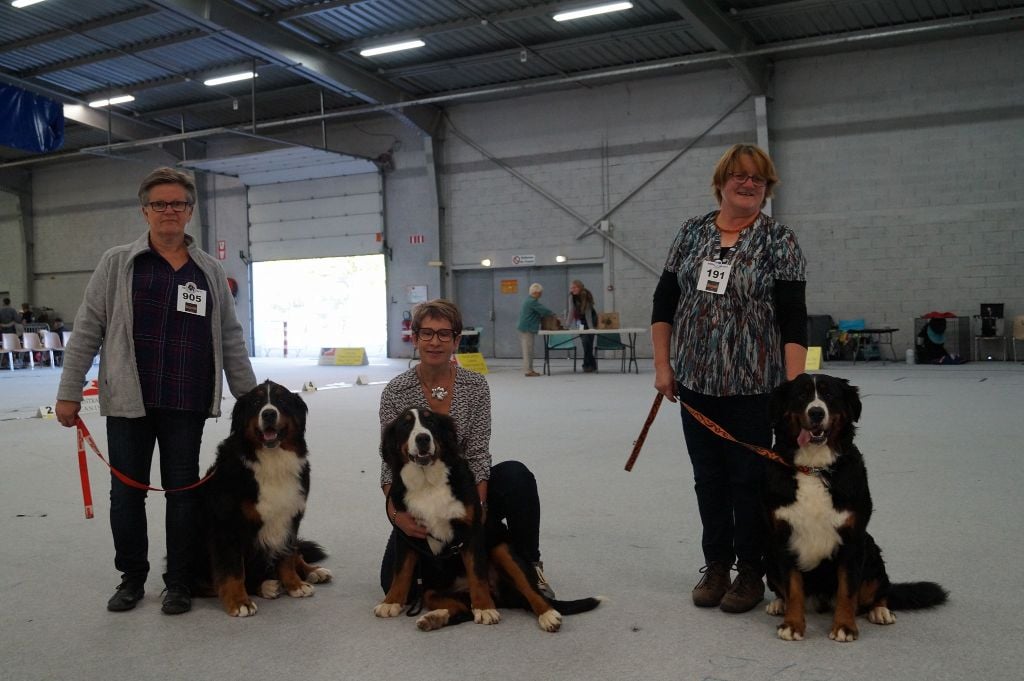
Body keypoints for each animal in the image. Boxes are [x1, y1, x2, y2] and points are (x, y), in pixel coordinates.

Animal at [192, 378, 331, 614]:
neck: (272, 460)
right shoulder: (227, 525)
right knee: (204, 583)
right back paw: (266, 586)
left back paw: (313, 572)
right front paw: (239, 601)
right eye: (256, 402)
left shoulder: (290, 517)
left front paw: (295, 585)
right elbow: (233, 570)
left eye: (282, 401)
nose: (269, 414)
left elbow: (287, 556)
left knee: (297, 553)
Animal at [374, 403, 598, 630]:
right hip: (432, 589)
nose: (422, 438)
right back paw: (434, 618)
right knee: (461, 609)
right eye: (405, 425)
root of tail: (501, 595)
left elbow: (477, 572)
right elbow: (400, 572)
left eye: (431, 422)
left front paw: (484, 608)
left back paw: (547, 614)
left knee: (530, 590)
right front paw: (390, 602)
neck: (427, 482)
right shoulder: (406, 532)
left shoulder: (471, 531)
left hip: (502, 549)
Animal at [765, 374, 946, 639]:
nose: (816, 412)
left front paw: (844, 626)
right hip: (769, 557)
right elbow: (793, 588)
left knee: (879, 592)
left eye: (829, 395)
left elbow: (848, 590)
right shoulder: (783, 537)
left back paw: (880, 611)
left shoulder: (852, 539)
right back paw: (778, 605)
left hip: (870, 550)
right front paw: (792, 624)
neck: (814, 468)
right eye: (801, 395)